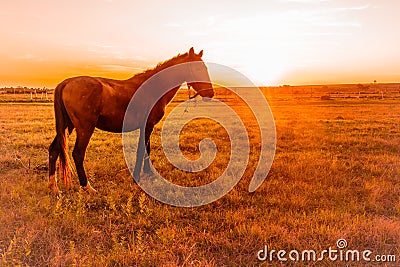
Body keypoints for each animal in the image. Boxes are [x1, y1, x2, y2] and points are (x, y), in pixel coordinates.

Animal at [48, 48, 214, 195]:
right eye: (197, 68)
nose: (210, 93)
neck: (153, 87)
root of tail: (66, 83)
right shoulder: (147, 125)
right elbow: (141, 151)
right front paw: (137, 178)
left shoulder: (147, 126)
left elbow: (147, 150)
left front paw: (148, 173)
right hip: (84, 128)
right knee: (77, 154)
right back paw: (87, 187)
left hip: (67, 127)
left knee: (54, 149)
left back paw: (53, 187)